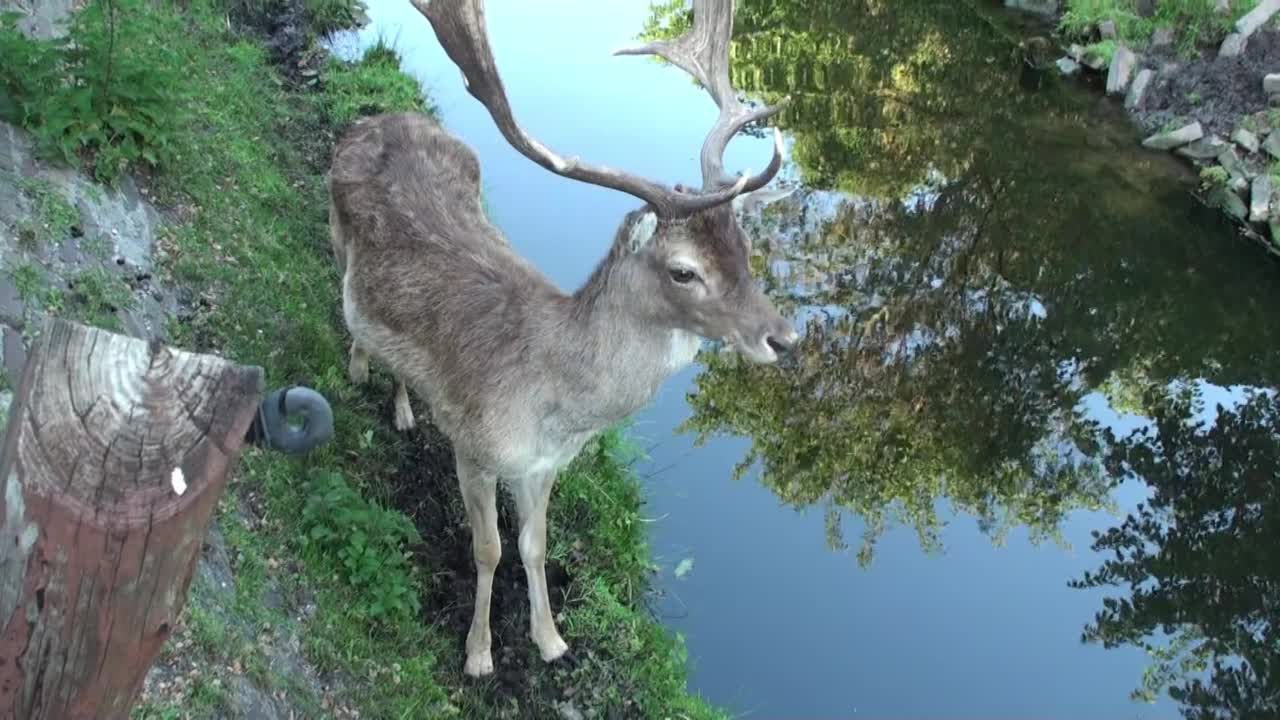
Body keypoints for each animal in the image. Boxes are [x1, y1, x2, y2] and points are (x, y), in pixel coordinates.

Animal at [325, 0, 793, 676]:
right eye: (684, 271)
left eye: (746, 250)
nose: (783, 338)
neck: (552, 406)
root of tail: (375, 116)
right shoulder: (473, 446)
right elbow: (488, 549)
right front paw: (479, 654)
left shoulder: (546, 466)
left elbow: (535, 545)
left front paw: (550, 640)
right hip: (336, 232)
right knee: (347, 302)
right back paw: (362, 369)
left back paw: (405, 407)